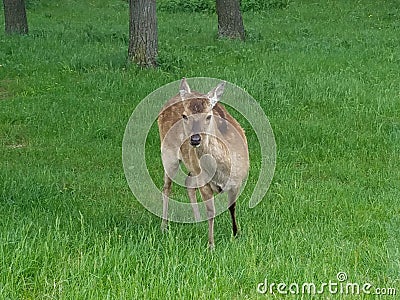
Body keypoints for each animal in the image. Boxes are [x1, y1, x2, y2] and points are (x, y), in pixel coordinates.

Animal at [158, 78, 248, 248]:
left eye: (208, 116)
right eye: (185, 115)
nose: (195, 139)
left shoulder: (238, 181)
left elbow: (232, 207)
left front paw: (236, 234)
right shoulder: (205, 183)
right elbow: (211, 211)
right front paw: (211, 244)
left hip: (192, 166)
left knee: (188, 182)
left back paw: (198, 220)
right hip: (168, 153)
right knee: (167, 187)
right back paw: (164, 226)